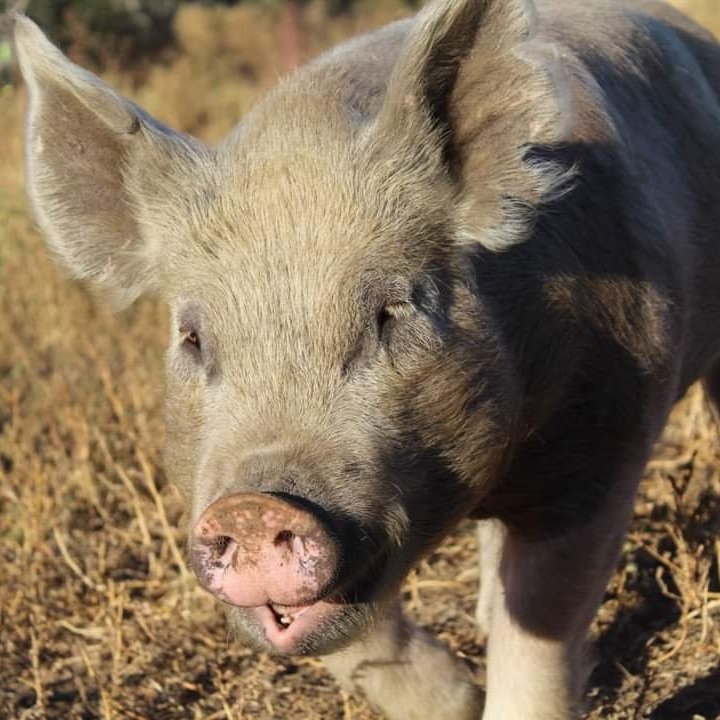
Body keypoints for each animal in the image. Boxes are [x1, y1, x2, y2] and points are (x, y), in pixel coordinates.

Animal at [12, 0, 720, 718]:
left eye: (394, 311)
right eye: (193, 337)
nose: (254, 508)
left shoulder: (609, 434)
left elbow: (542, 627)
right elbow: (344, 638)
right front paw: (459, 699)